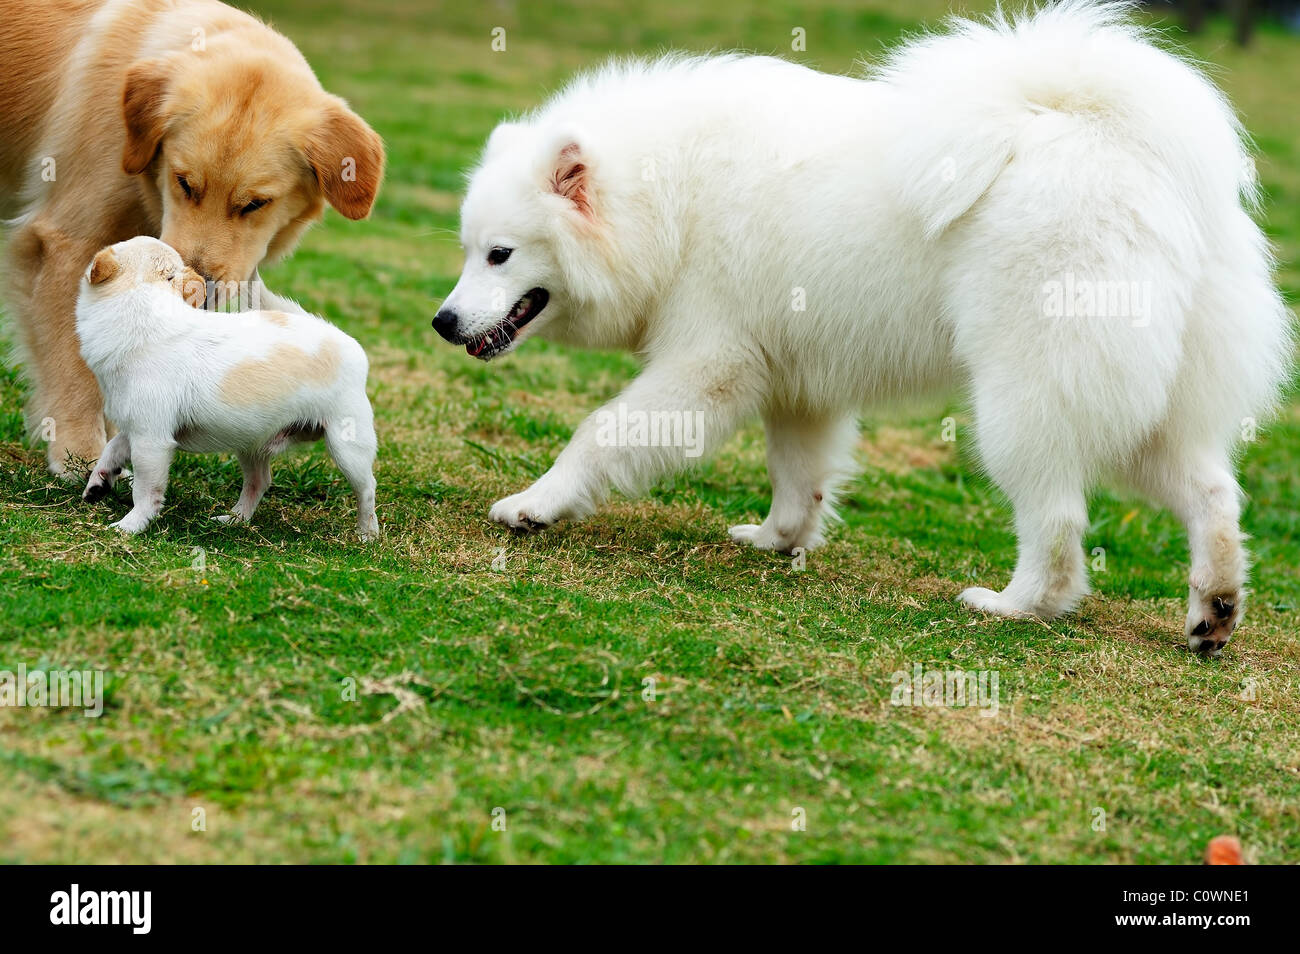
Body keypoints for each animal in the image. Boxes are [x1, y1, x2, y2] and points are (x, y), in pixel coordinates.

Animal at [0, 0, 382, 475]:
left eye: (255, 203)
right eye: (184, 182)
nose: (199, 290)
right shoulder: (67, 243)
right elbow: (73, 364)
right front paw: (80, 454)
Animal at [79, 236, 379, 540]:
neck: (145, 301)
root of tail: (343, 338)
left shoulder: (151, 439)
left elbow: (145, 490)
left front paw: (131, 525)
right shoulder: (138, 427)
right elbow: (112, 448)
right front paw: (99, 481)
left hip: (347, 446)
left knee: (367, 489)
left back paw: (367, 535)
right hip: (252, 443)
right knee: (259, 482)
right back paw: (235, 519)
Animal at [436, 0, 1289, 655]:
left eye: (501, 254)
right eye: (467, 251)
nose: (443, 321)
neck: (667, 197)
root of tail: (1129, 155)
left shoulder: (707, 365)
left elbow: (601, 432)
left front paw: (533, 505)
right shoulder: (793, 381)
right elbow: (799, 476)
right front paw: (778, 541)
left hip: (1025, 396)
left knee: (1057, 519)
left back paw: (1015, 604)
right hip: (1150, 407)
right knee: (1214, 495)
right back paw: (1213, 611)